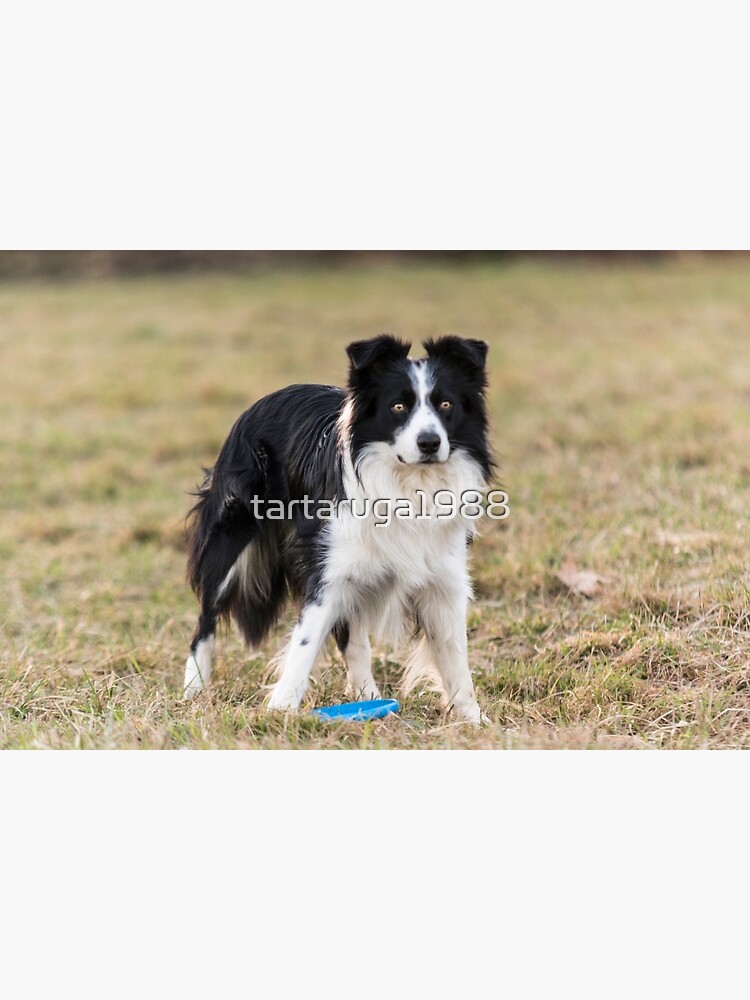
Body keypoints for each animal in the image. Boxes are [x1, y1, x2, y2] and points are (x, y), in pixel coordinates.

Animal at [184, 334, 494, 720]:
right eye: (398, 407)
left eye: (446, 404)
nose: (429, 443)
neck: (410, 483)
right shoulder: (329, 571)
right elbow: (305, 642)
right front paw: (279, 711)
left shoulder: (443, 577)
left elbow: (454, 656)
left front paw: (474, 719)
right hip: (230, 540)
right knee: (205, 622)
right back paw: (193, 689)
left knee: (354, 639)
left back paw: (368, 695)